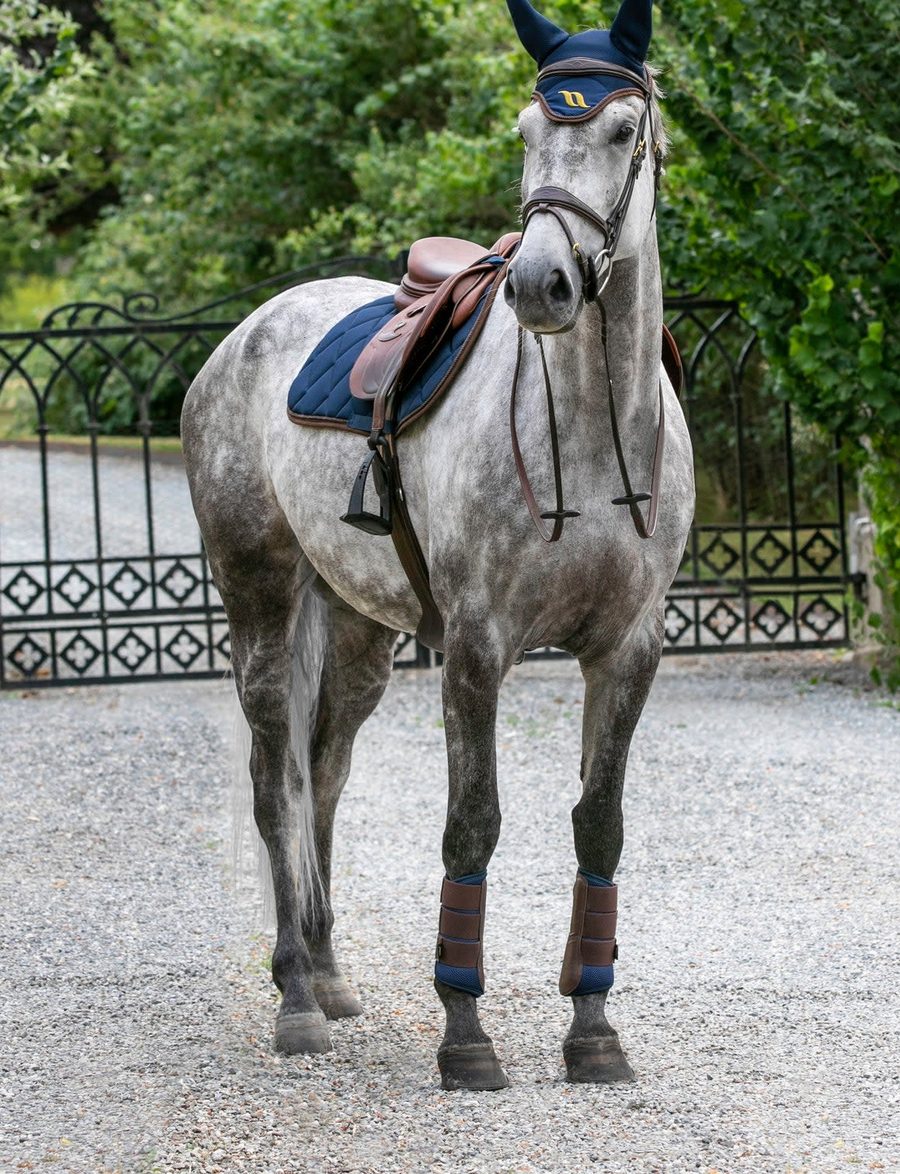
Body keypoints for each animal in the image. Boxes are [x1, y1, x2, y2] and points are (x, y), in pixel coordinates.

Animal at [181, 0, 694, 1091]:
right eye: (528, 130)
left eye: (623, 130)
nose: (542, 283)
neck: (589, 431)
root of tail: (243, 336)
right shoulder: (475, 648)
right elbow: (475, 821)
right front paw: (466, 1036)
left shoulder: (627, 649)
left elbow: (599, 822)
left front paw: (594, 1032)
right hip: (263, 600)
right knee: (275, 782)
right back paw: (295, 999)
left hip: (357, 632)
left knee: (324, 773)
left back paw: (328, 974)